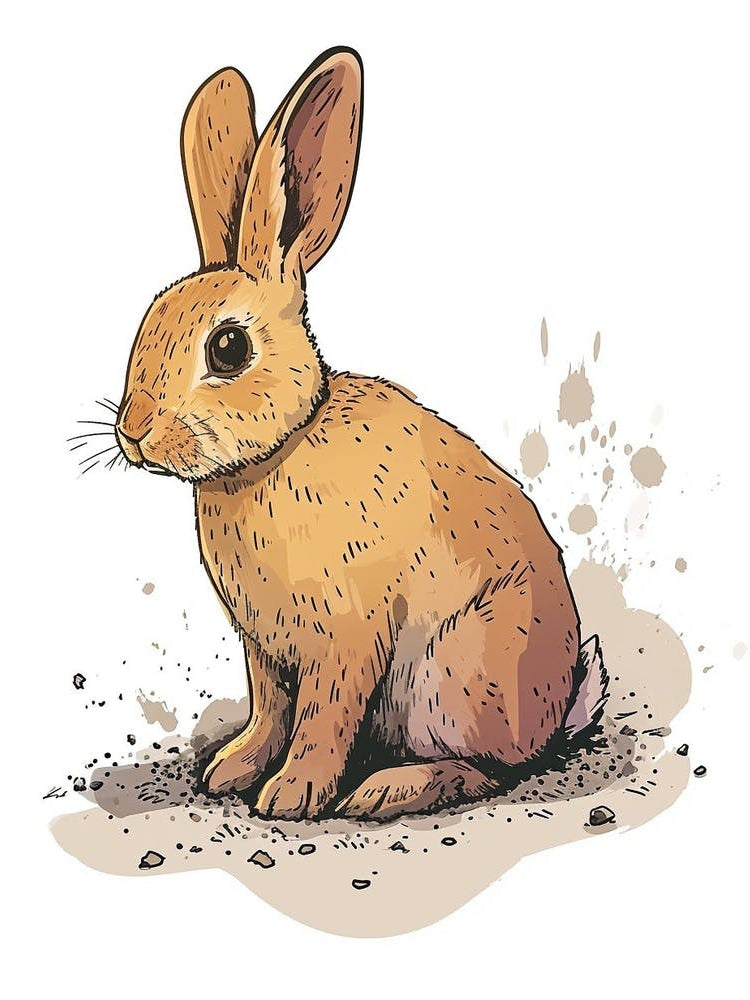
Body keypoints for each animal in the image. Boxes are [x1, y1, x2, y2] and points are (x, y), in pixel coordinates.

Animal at [115, 47, 607, 821]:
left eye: (227, 348)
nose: (132, 433)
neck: (275, 454)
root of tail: (556, 713)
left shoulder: (345, 640)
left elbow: (322, 718)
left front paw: (291, 795)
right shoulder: (264, 648)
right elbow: (271, 710)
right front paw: (233, 769)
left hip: (451, 679)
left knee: (487, 771)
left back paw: (384, 790)